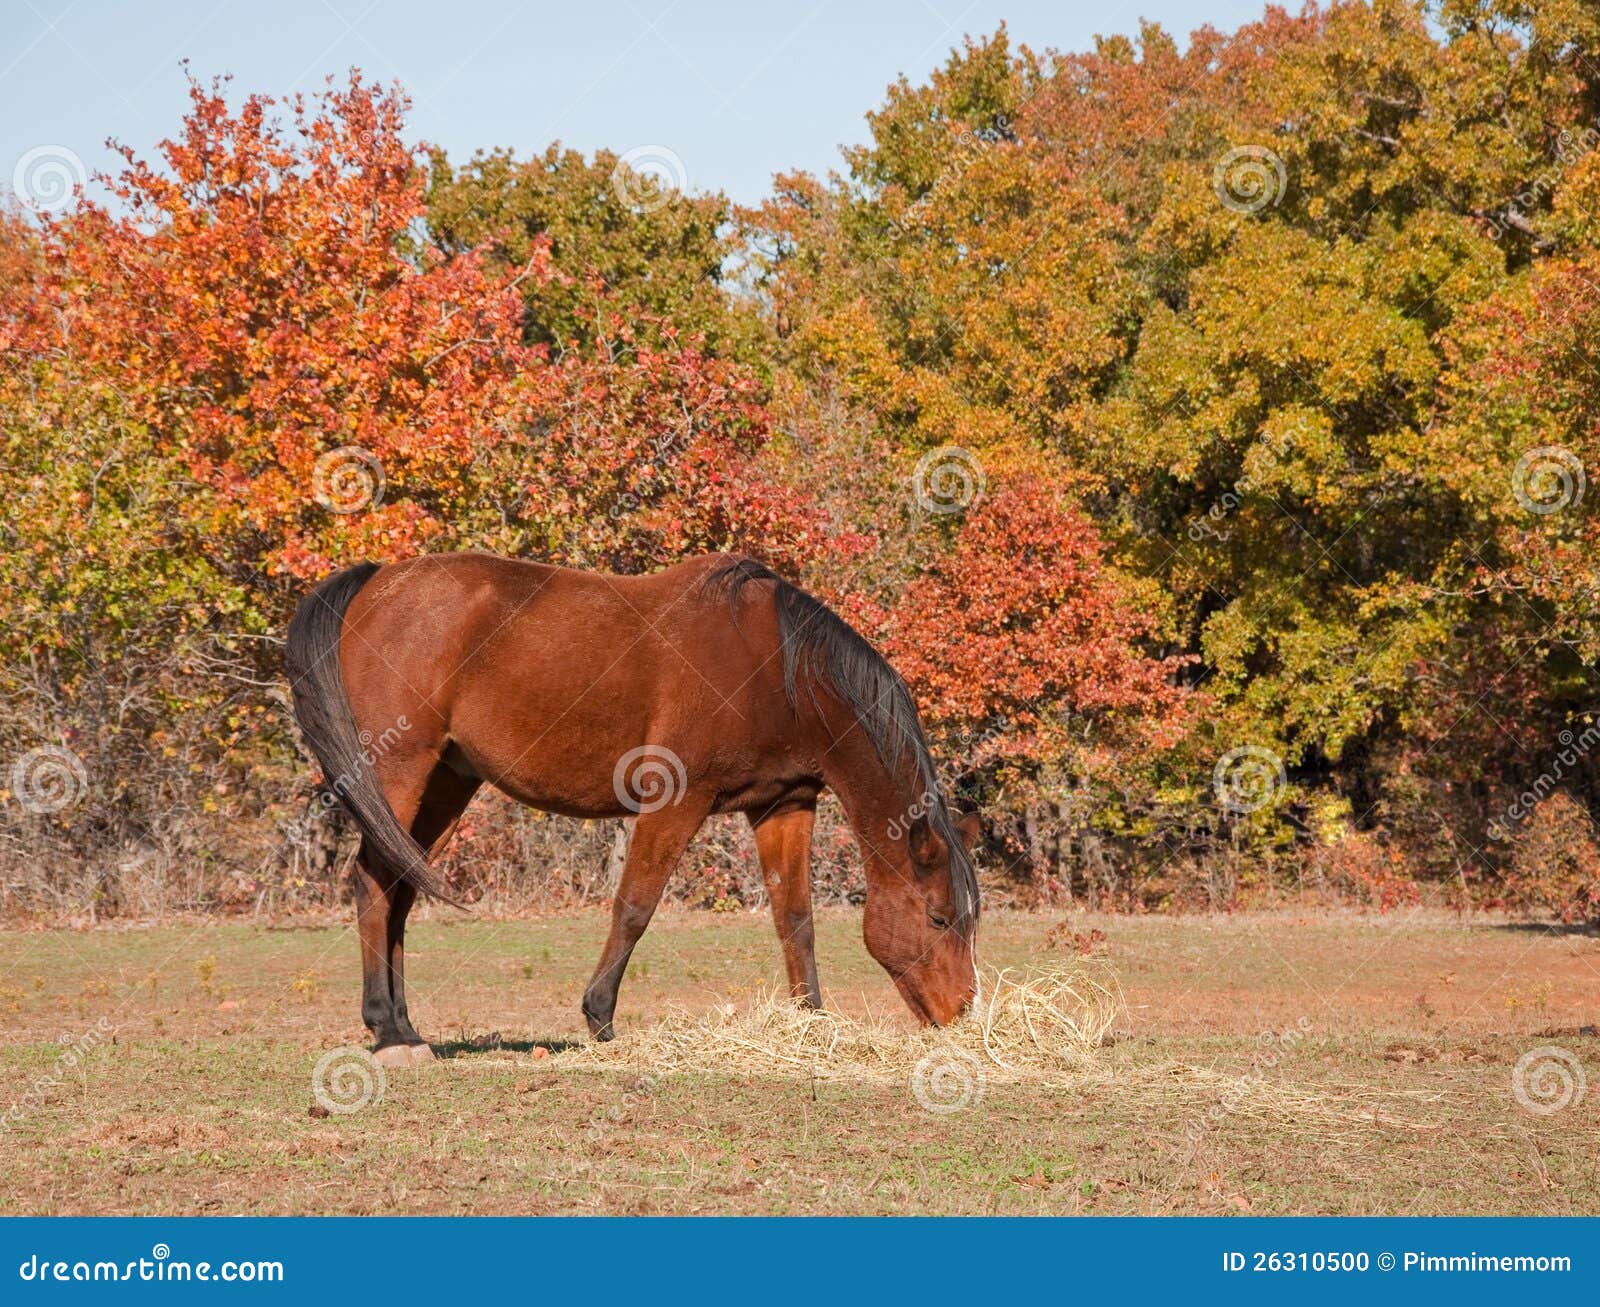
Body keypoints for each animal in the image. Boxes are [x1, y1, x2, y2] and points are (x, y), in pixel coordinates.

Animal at [285, 551, 980, 1066]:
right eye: (940, 919)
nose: (963, 1016)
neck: (776, 665)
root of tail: (376, 580)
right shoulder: (676, 801)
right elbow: (635, 908)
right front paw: (599, 1017)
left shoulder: (784, 806)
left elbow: (795, 919)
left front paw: (810, 1020)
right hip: (398, 770)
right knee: (373, 882)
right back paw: (388, 1032)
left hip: (446, 785)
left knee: (400, 889)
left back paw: (404, 1025)